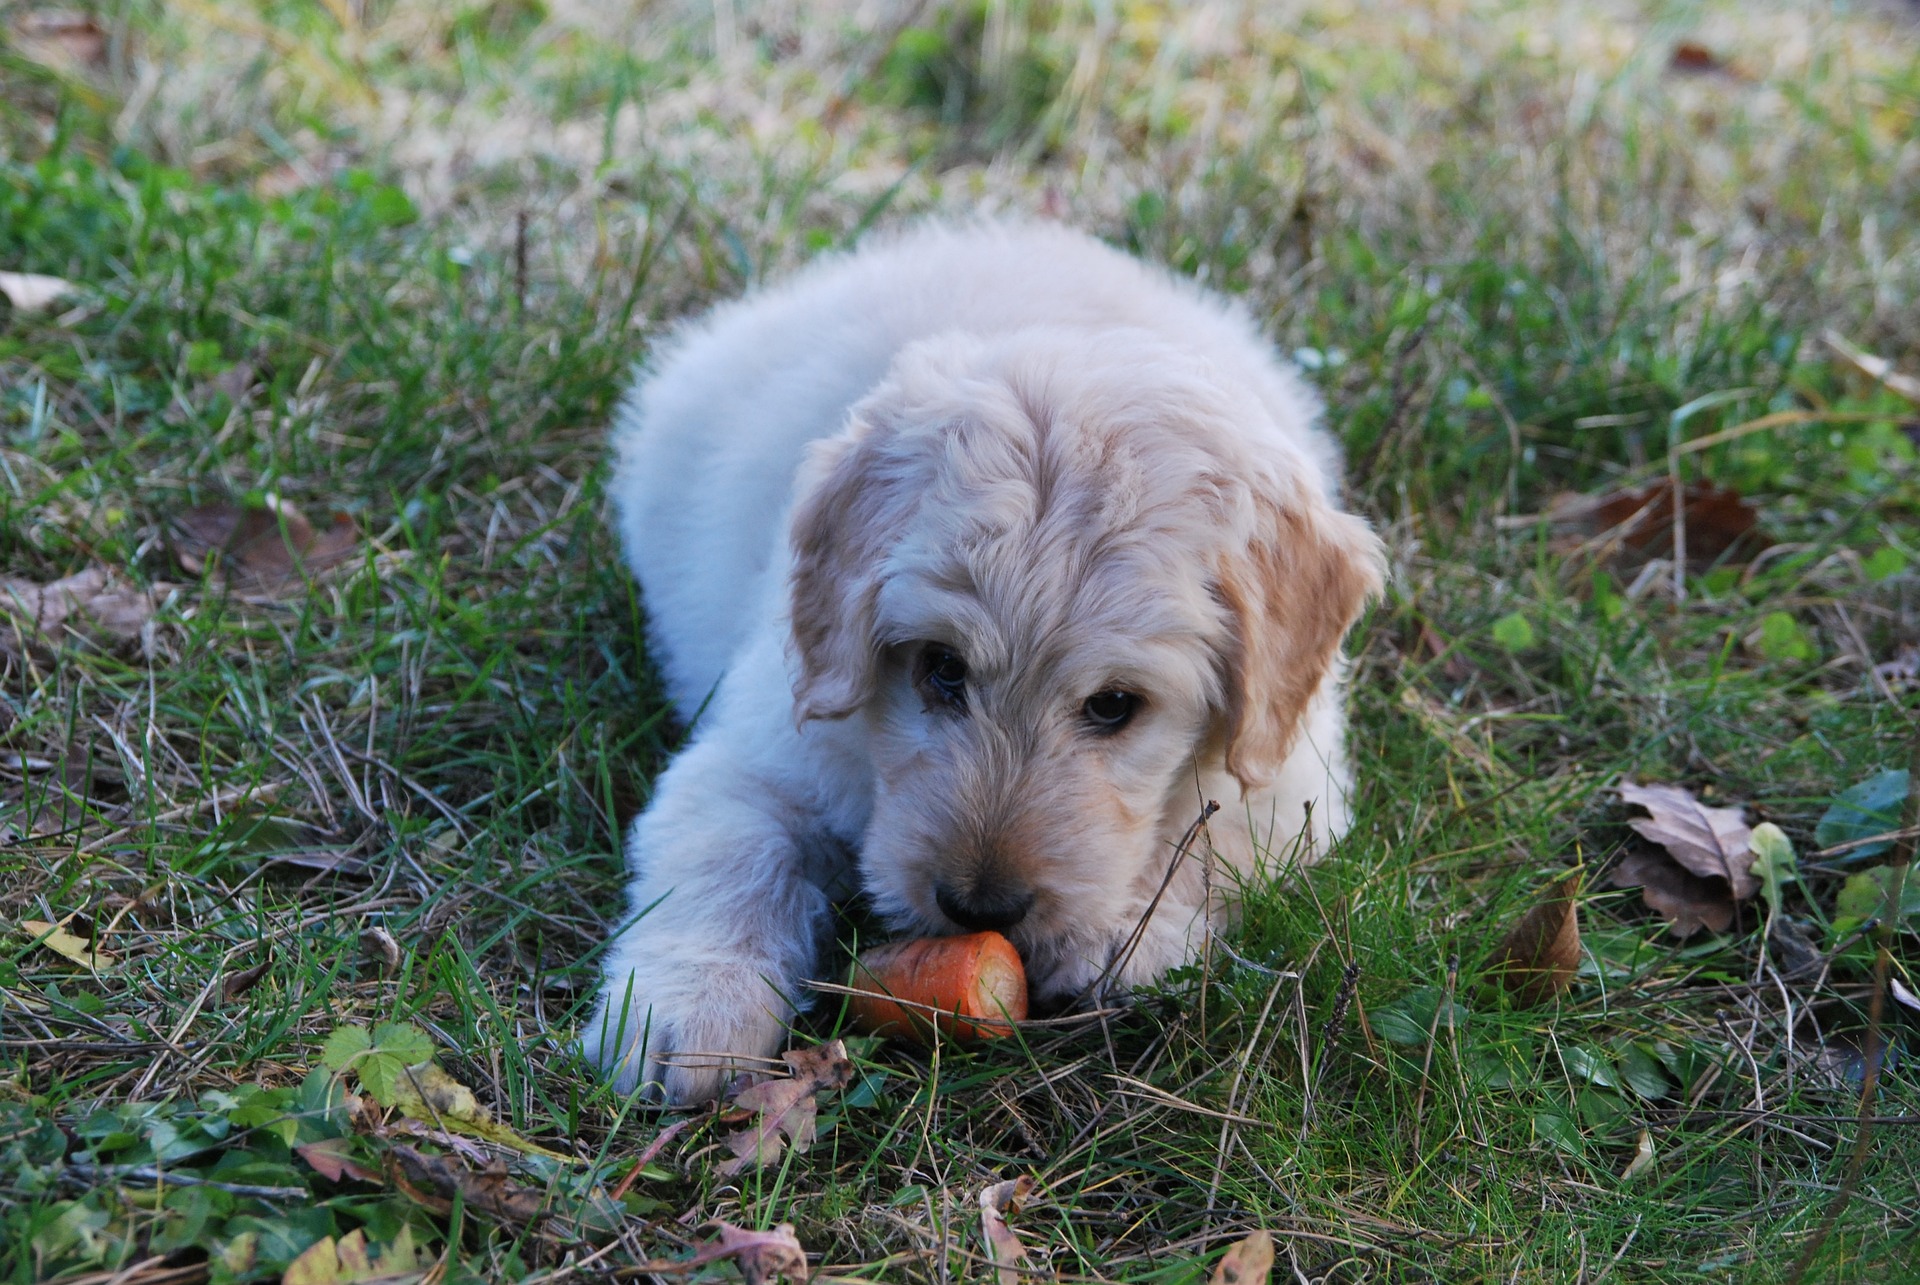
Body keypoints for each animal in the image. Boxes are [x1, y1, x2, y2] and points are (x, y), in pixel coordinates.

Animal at [583, 220, 1382, 1106]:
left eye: (1115, 704)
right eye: (941, 666)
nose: (979, 907)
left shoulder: (1293, 777)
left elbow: (1212, 840)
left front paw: (1123, 933)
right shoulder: (763, 746)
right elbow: (727, 855)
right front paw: (688, 1009)